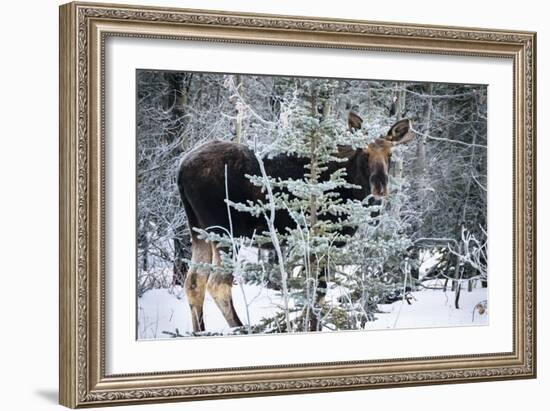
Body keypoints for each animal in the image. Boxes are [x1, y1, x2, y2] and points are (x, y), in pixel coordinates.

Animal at [179, 114, 416, 334]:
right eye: (365, 153)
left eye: (390, 154)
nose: (380, 186)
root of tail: (180, 170)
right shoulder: (323, 238)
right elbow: (318, 292)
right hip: (226, 231)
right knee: (218, 283)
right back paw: (242, 328)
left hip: (198, 231)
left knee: (194, 282)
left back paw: (200, 331)